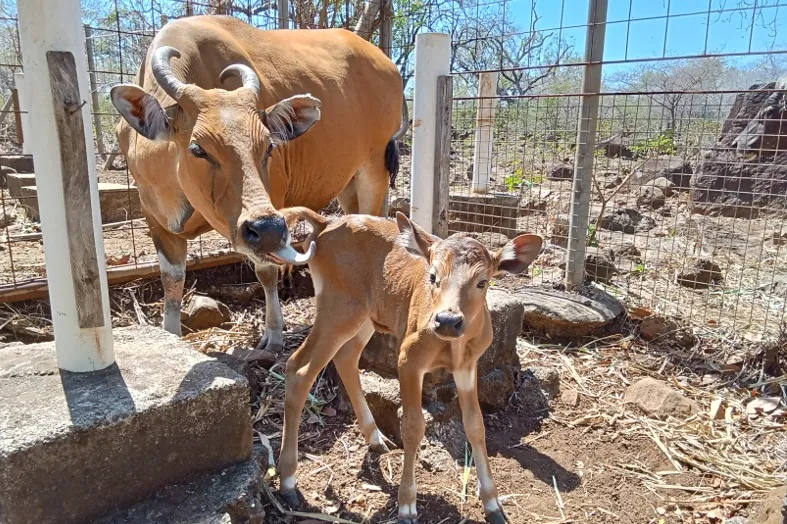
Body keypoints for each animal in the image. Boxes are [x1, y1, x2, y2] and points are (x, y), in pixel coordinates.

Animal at [111, 16, 406, 352]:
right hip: (348, 181)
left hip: (374, 168)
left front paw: (274, 335)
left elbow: (266, 271)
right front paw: (169, 336)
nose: (266, 229)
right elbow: (172, 280)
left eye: (268, 146)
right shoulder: (155, 219)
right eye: (198, 148)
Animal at [272, 207, 540, 520]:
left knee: (346, 357)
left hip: (365, 315)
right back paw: (288, 481)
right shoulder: (408, 358)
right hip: (337, 308)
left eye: (482, 281)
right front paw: (407, 506)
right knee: (298, 367)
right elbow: (413, 426)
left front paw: (493, 503)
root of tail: (324, 223)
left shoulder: (468, 365)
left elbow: (475, 425)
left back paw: (376, 439)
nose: (447, 320)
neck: (453, 346)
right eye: (433, 276)